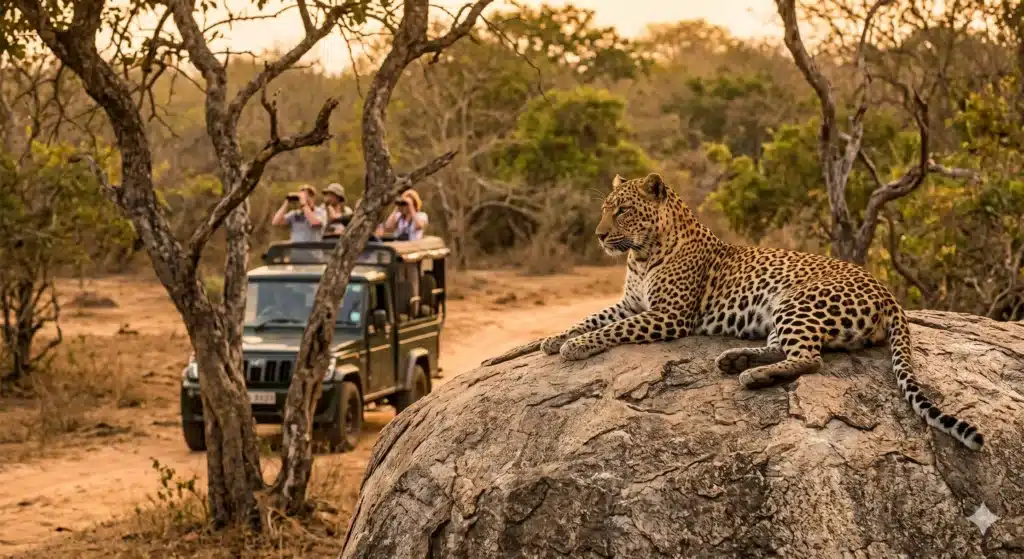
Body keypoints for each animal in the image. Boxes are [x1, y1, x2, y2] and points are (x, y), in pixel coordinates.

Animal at [540, 172, 984, 451]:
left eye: (623, 211)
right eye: (606, 208)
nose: (599, 235)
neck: (642, 254)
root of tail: (887, 291)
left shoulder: (668, 315)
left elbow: (611, 330)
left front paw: (575, 347)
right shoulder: (631, 303)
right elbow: (592, 318)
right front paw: (552, 338)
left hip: (798, 301)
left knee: (810, 359)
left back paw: (751, 375)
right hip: (782, 315)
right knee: (787, 349)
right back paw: (734, 360)